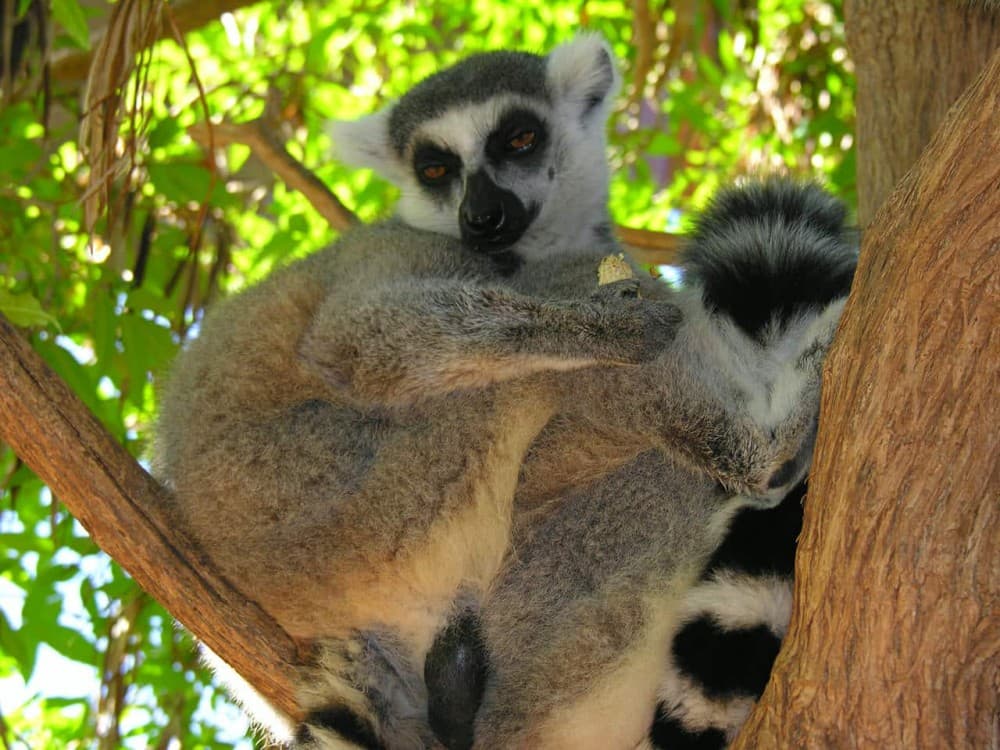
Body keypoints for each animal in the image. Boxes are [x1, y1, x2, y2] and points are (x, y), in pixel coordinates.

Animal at [153, 37, 826, 749]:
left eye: (519, 138)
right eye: (435, 168)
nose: (480, 218)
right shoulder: (413, 253)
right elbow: (358, 340)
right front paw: (605, 327)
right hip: (358, 512)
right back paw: (773, 451)